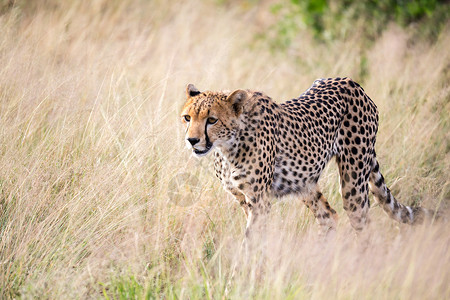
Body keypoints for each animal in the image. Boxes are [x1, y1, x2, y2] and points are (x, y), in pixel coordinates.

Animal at [180, 78, 440, 236]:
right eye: (187, 118)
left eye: (212, 120)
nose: (192, 140)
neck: (227, 148)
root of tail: (351, 82)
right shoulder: (244, 200)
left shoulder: (259, 201)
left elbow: (252, 239)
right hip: (303, 182)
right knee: (329, 216)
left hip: (354, 183)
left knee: (362, 223)